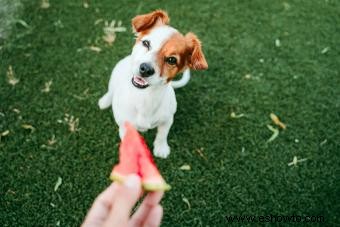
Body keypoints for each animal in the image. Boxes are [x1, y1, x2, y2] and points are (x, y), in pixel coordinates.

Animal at [98, 9, 207, 158]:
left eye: (172, 60)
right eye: (146, 43)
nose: (145, 69)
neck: (145, 97)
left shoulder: (167, 120)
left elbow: (162, 135)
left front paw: (161, 148)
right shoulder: (125, 128)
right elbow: (131, 144)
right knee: (110, 91)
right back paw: (105, 101)